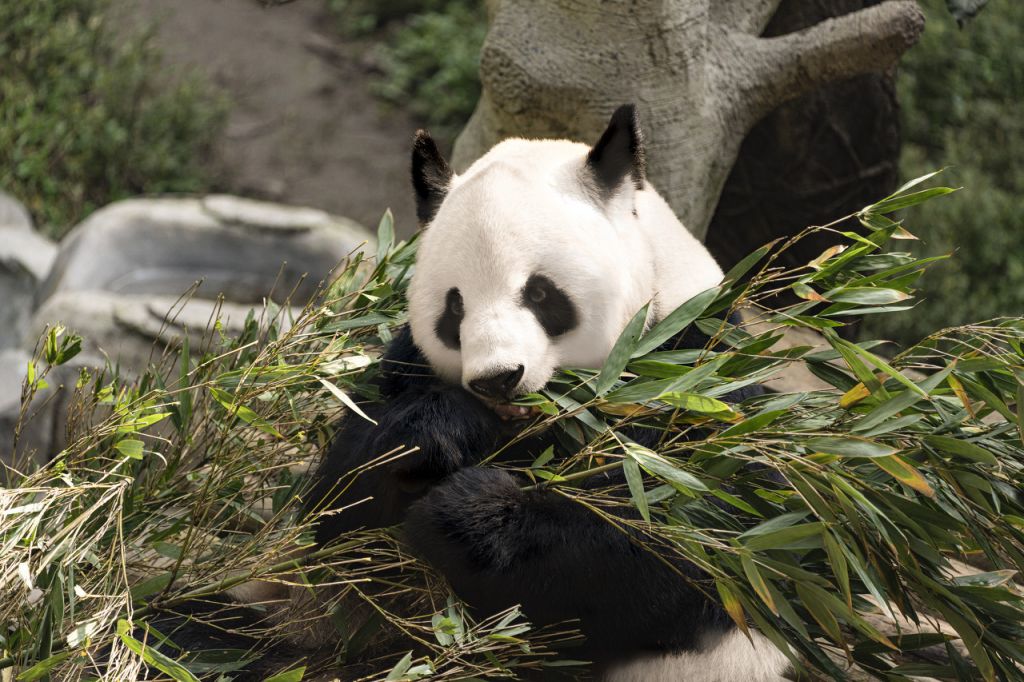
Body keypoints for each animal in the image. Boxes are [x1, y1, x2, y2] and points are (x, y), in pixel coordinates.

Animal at [309, 106, 790, 679]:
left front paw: (471, 513)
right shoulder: (407, 365)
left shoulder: (698, 368)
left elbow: (698, 535)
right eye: (455, 306)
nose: (497, 378)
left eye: (539, 293)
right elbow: (332, 521)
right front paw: (439, 434)